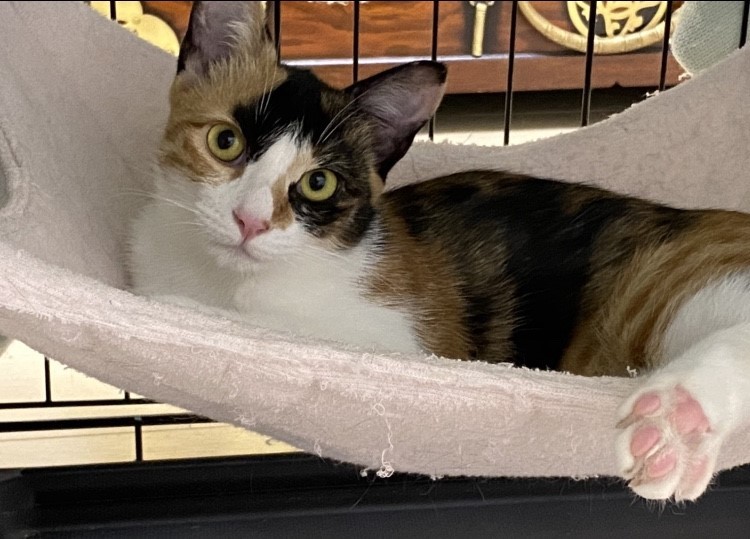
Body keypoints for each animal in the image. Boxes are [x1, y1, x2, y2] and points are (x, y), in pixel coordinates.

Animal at [128, 1, 750, 504]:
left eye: (319, 184)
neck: (223, 276)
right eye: (224, 141)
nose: (250, 221)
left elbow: (274, 330)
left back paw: (676, 426)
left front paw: (185, 313)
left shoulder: (397, 340)